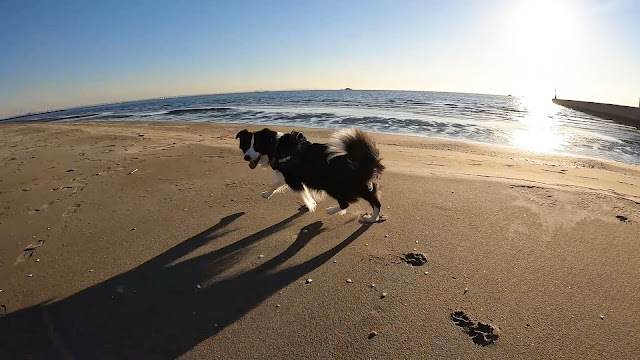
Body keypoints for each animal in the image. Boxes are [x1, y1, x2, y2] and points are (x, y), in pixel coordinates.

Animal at [235, 126, 384, 222]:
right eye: (246, 146)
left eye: (257, 146)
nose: (246, 157)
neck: (276, 146)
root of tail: (361, 163)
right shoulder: (289, 174)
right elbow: (277, 184)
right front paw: (266, 194)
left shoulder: (292, 178)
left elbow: (301, 192)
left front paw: (311, 205)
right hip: (363, 186)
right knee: (376, 202)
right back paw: (371, 218)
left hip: (333, 185)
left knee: (346, 203)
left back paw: (331, 210)